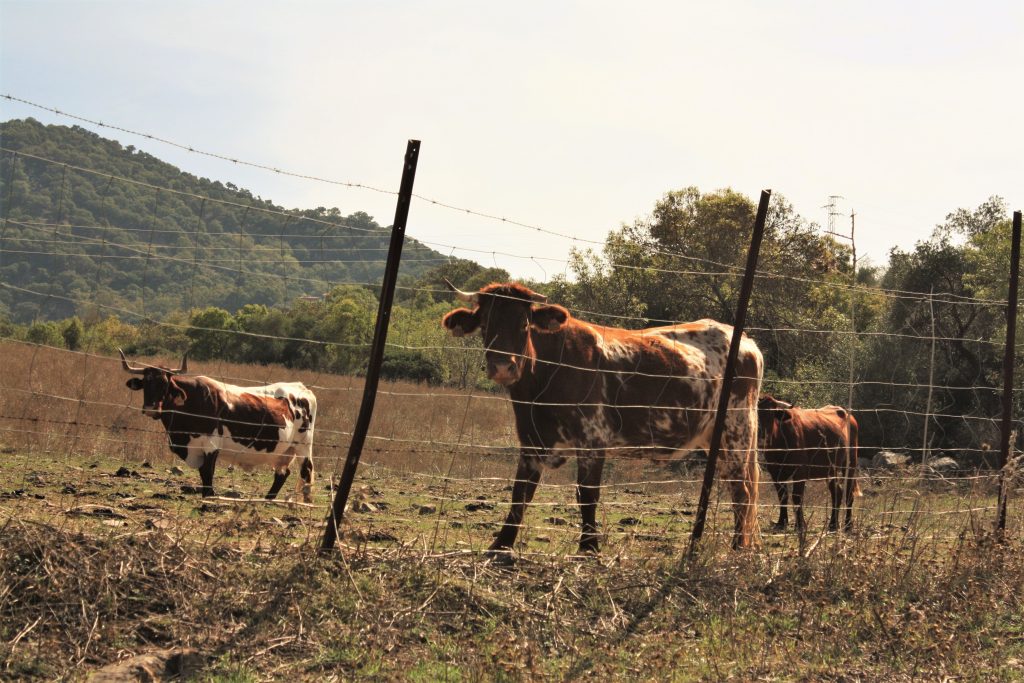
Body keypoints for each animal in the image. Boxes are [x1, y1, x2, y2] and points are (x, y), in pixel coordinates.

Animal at [120, 350, 317, 503]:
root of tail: (301, 387)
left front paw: (209, 496)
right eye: (145, 384)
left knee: (306, 470)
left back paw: (305, 502)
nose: (151, 408)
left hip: (304, 444)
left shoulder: (211, 444)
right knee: (282, 473)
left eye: (165, 385)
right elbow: (204, 473)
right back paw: (267, 499)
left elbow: (208, 472)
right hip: (284, 450)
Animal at [441, 280, 763, 555]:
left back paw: (738, 548)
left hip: (737, 430)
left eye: (524, 324)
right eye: (485, 325)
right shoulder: (532, 440)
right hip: (715, 437)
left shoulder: (592, 439)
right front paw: (501, 544)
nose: (502, 367)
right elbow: (521, 493)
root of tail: (745, 340)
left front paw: (588, 547)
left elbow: (587, 494)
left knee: (742, 490)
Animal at [757, 394, 861, 532]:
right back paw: (833, 524)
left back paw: (848, 525)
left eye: (771, 415)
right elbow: (782, 496)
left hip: (850, 464)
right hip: (831, 470)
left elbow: (797, 496)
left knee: (849, 493)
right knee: (837, 493)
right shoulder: (775, 472)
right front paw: (781, 522)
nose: (761, 437)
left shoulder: (800, 471)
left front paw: (800, 525)